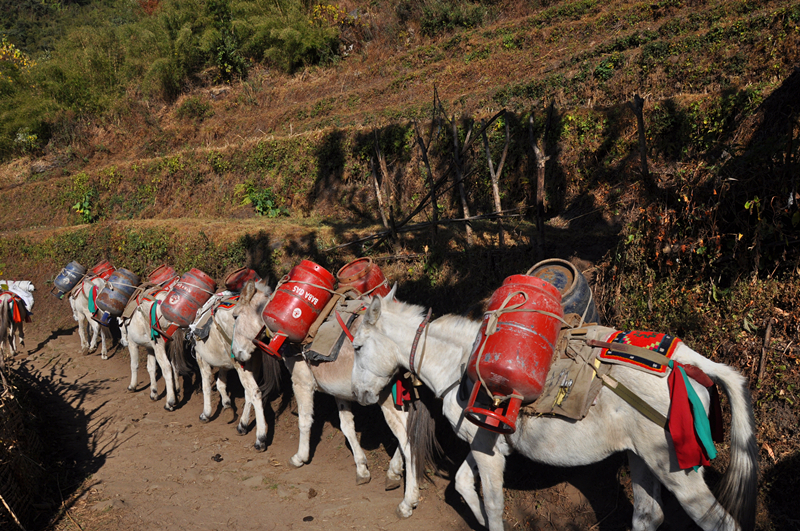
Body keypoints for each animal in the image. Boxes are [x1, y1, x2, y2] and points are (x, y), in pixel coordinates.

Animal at [190, 280, 282, 450]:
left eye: (236, 316)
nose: (237, 352)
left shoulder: (201, 357)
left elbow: (206, 384)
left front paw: (206, 413)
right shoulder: (231, 361)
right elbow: (221, 383)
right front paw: (227, 405)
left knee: (254, 392)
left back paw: (260, 438)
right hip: (251, 362)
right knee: (249, 392)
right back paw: (242, 425)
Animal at [230, 282, 422, 520]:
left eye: (235, 316)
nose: (236, 355)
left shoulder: (301, 383)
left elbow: (305, 421)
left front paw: (300, 457)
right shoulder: (339, 393)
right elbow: (347, 427)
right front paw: (361, 468)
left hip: (387, 400)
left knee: (407, 441)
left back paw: (408, 502)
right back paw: (394, 473)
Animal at [348, 290, 756, 531]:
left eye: (357, 347)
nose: (358, 393)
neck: (460, 362)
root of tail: (688, 363)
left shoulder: (487, 450)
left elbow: (492, 503)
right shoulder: (483, 444)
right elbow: (463, 485)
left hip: (676, 470)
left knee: (719, 523)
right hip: (642, 458)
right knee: (647, 515)